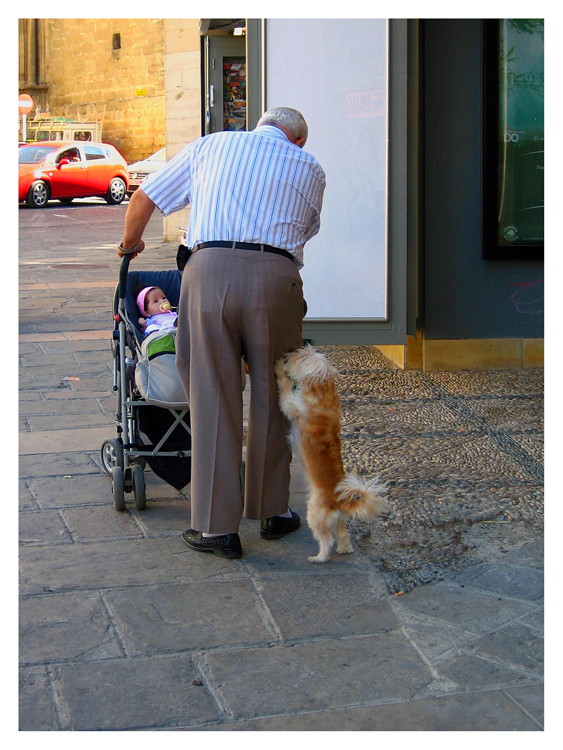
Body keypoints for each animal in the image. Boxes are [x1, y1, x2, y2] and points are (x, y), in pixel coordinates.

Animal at [274, 346, 390, 564]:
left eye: (299, 357)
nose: (288, 353)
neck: (322, 393)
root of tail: (340, 500)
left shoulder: (292, 404)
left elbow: (285, 388)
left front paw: (278, 368)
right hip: (340, 521)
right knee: (342, 535)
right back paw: (345, 550)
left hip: (315, 513)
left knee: (327, 540)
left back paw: (319, 558)